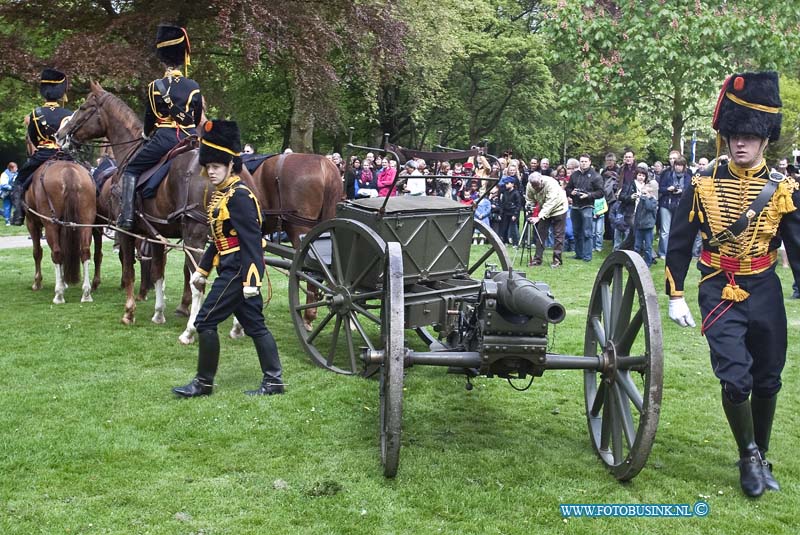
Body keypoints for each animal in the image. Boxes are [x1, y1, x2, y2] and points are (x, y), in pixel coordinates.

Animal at [25, 159, 96, 304]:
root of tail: (69, 171)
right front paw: (64, 282)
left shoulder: (32, 223)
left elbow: (37, 252)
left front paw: (37, 282)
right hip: (86, 223)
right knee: (85, 252)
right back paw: (86, 293)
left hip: (50, 225)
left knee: (56, 253)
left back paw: (59, 294)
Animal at [58, 83, 209, 344]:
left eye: (84, 107)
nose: (61, 136)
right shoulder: (156, 235)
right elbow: (158, 272)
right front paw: (158, 313)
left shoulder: (126, 231)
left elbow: (129, 271)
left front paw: (129, 313)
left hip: (194, 239)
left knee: (198, 282)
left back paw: (190, 331)